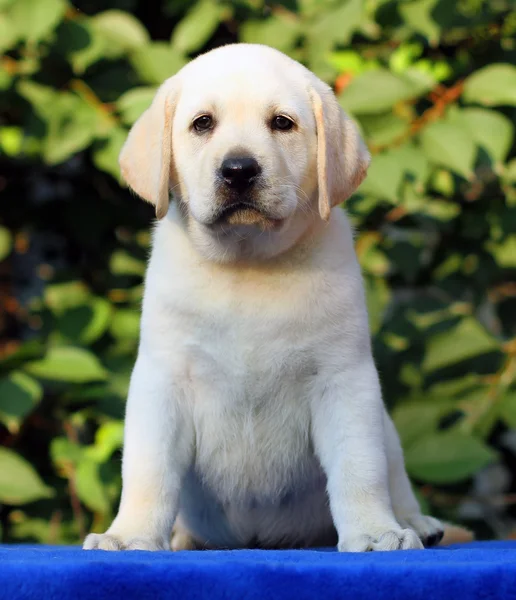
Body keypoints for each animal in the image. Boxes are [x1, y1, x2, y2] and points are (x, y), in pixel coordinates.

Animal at [83, 43, 468, 552]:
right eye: (202, 123)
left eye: (282, 123)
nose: (239, 170)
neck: (248, 264)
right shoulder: (163, 380)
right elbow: (148, 471)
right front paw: (129, 536)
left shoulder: (344, 380)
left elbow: (359, 468)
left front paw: (373, 532)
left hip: (386, 427)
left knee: (395, 474)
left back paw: (415, 522)